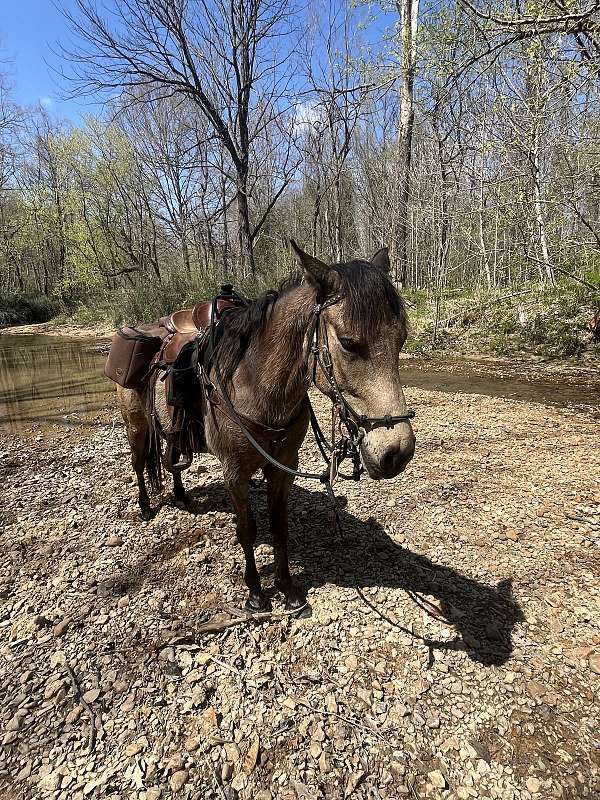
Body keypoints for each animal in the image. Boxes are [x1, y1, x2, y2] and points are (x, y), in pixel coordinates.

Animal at [118, 241, 418, 608]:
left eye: (401, 339)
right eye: (348, 343)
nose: (397, 452)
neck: (256, 385)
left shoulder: (282, 465)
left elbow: (278, 526)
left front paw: (288, 588)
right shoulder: (234, 471)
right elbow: (247, 529)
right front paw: (256, 592)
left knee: (171, 459)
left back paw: (181, 496)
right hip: (136, 425)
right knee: (138, 463)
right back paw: (147, 508)